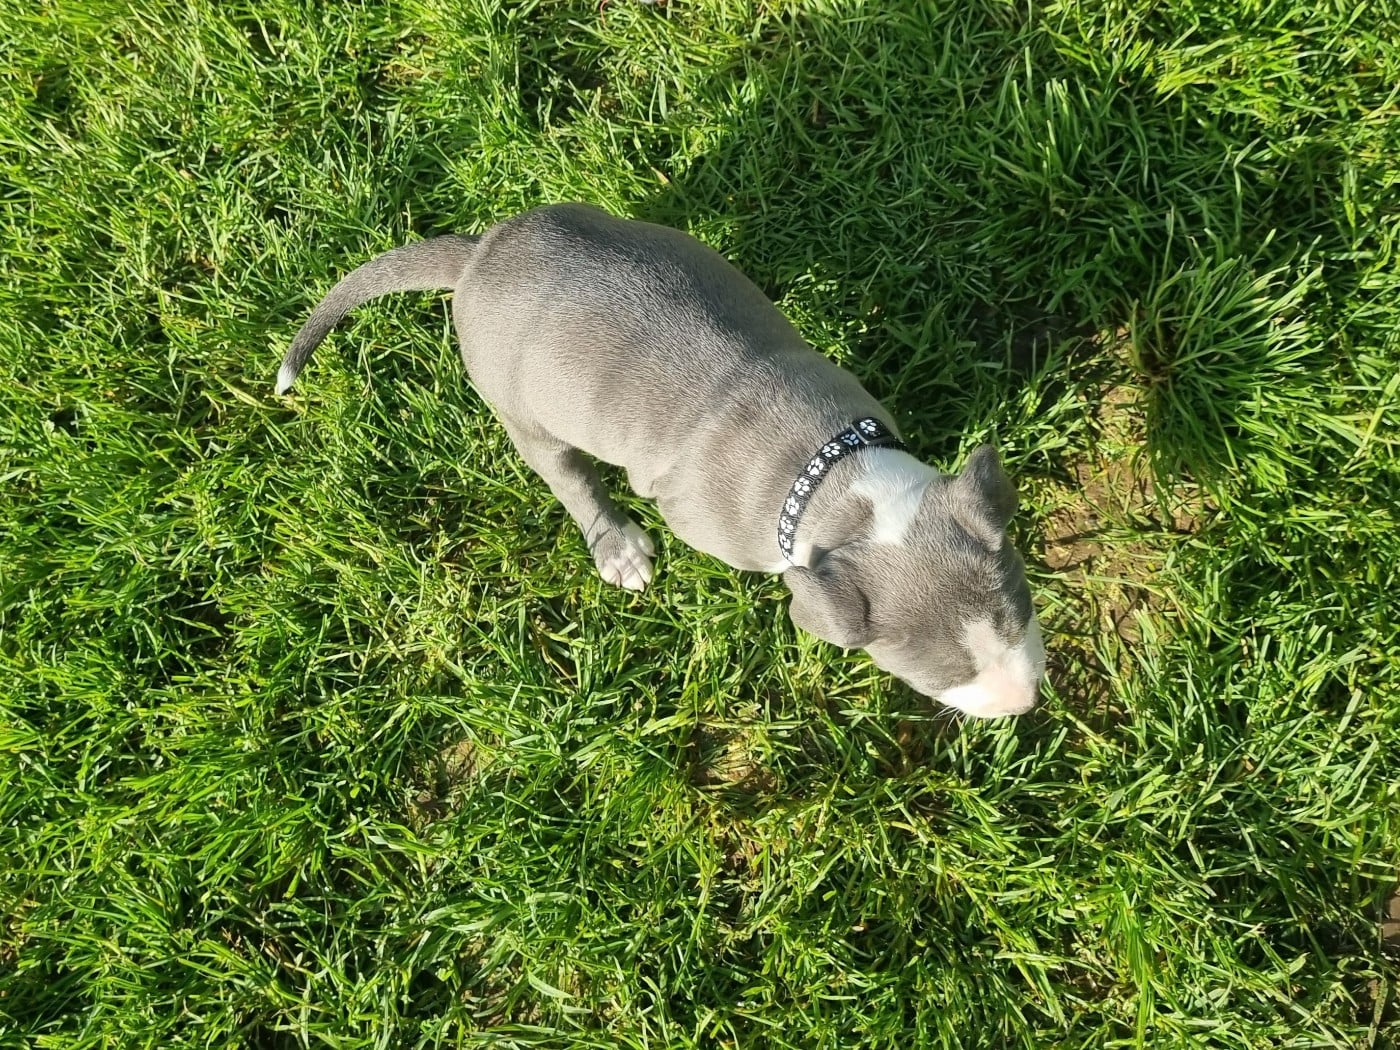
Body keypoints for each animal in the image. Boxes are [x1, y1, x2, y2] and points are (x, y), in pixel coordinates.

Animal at [277, 204, 1045, 717]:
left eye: (1020, 612)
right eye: (934, 675)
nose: (1022, 705)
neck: (832, 478)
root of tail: (478, 256)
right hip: (520, 407)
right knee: (568, 477)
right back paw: (615, 546)